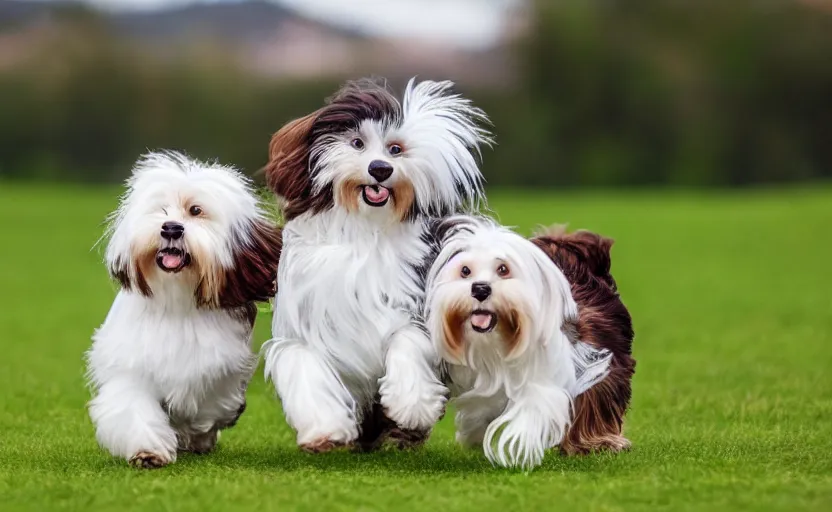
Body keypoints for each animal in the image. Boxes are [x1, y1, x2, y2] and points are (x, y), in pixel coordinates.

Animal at [86, 149, 282, 468]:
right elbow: (134, 406)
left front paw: (197, 433)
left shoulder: (221, 368)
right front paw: (148, 451)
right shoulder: (133, 362)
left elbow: (209, 403)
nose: (171, 228)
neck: (177, 301)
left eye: (196, 211)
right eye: (162, 210)